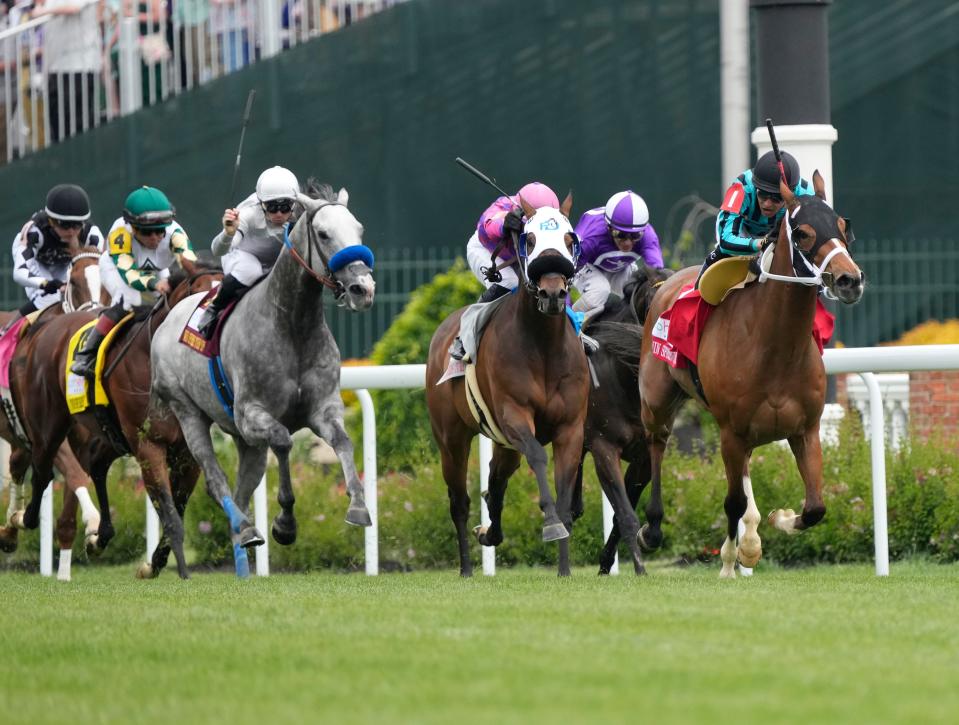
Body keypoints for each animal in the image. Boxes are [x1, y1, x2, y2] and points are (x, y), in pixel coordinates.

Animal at [0, 246, 108, 568]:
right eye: (74, 281)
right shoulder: (47, 435)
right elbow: (73, 473)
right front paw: (95, 522)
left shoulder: (84, 439)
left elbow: (73, 494)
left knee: (16, 464)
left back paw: (10, 529)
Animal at [11, 258, 221, 576]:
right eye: (200, 295)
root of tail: (45, 327)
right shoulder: (148, 446)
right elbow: (171, 514)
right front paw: (180, 574)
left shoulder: (187, 452)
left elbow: (179, 509)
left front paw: (154, 564)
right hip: (47, 427)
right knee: (42, 472)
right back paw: (22, 519)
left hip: (109, 434)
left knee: (95, 465)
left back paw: (100, 535)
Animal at [150, 181, 376, 572]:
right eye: (323, 233)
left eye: (359, 230)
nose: (364, 289)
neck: (292, 326)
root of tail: (167, 319)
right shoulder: (252, 413)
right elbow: (284, 441)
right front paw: (285, 524)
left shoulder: (323, 409)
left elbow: (344, 442)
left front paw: (358, 507)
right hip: (188, 412)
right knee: (215, 479)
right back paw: (245, 528)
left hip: (246, 442)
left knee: (241, 491)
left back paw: (243, 543)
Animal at [426, 195, 592, 576]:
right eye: (529, 240)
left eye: (570, 239)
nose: (552, 292)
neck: (543, 345)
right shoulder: (514, 414)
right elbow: (538, 457)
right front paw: (550, 524)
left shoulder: (570, 427)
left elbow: (564, 491)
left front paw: (564, 568)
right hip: (451, 438)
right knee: (459, 500)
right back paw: (466, 568)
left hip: (502, 442)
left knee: (495, 479)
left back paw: (490, 533)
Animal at [640, 171, 868, 576]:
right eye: (803, 232)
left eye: (843, 226)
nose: (849, 280)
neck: (775, 349)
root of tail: (663, 284)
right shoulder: (729, 432)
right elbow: (732, 502)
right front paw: (732, 559)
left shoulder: (805, 429)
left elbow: (815, 507)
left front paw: (778, 520)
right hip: (656, 400)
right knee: (657, 443)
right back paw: (652, 529)